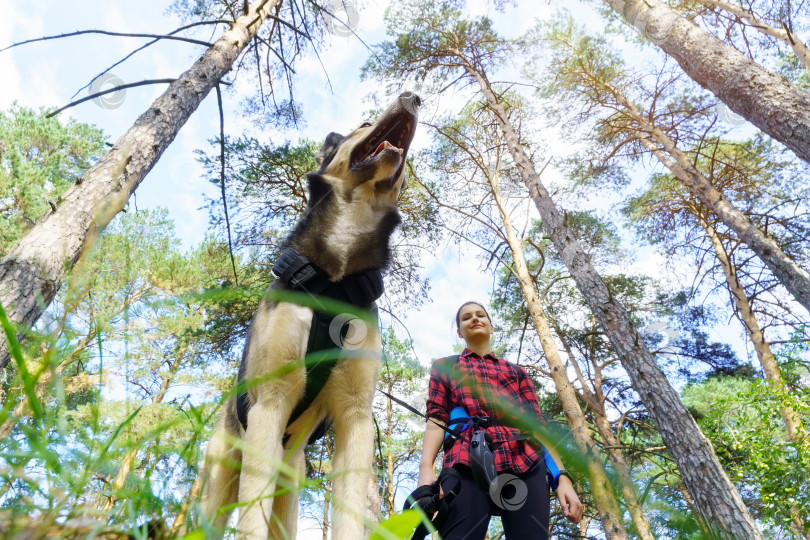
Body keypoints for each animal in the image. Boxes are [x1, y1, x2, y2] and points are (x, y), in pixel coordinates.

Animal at [199, 93, 420, 540]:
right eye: (364, 123)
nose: (414, 98)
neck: (334, 283)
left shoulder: (355, 418)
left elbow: (350, 517)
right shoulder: (272, 402)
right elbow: (251, 522)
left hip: (290, 484)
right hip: (221, 480)